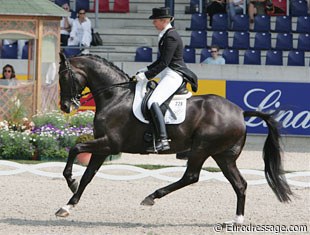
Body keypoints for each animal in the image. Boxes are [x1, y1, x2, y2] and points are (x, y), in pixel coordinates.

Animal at [55, 52, 290, 223]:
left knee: (191, 176)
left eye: (63, 77)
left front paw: (71, 182)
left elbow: (75, 150)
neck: (116, 96)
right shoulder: (103, 147)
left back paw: (151, 197)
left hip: (201, 149)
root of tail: (240, 112)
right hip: (223, 155)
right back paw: (237, 220)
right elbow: (88, 175)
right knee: (239, 184)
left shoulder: (109, 144)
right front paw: (67, 205)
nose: (66, 107)